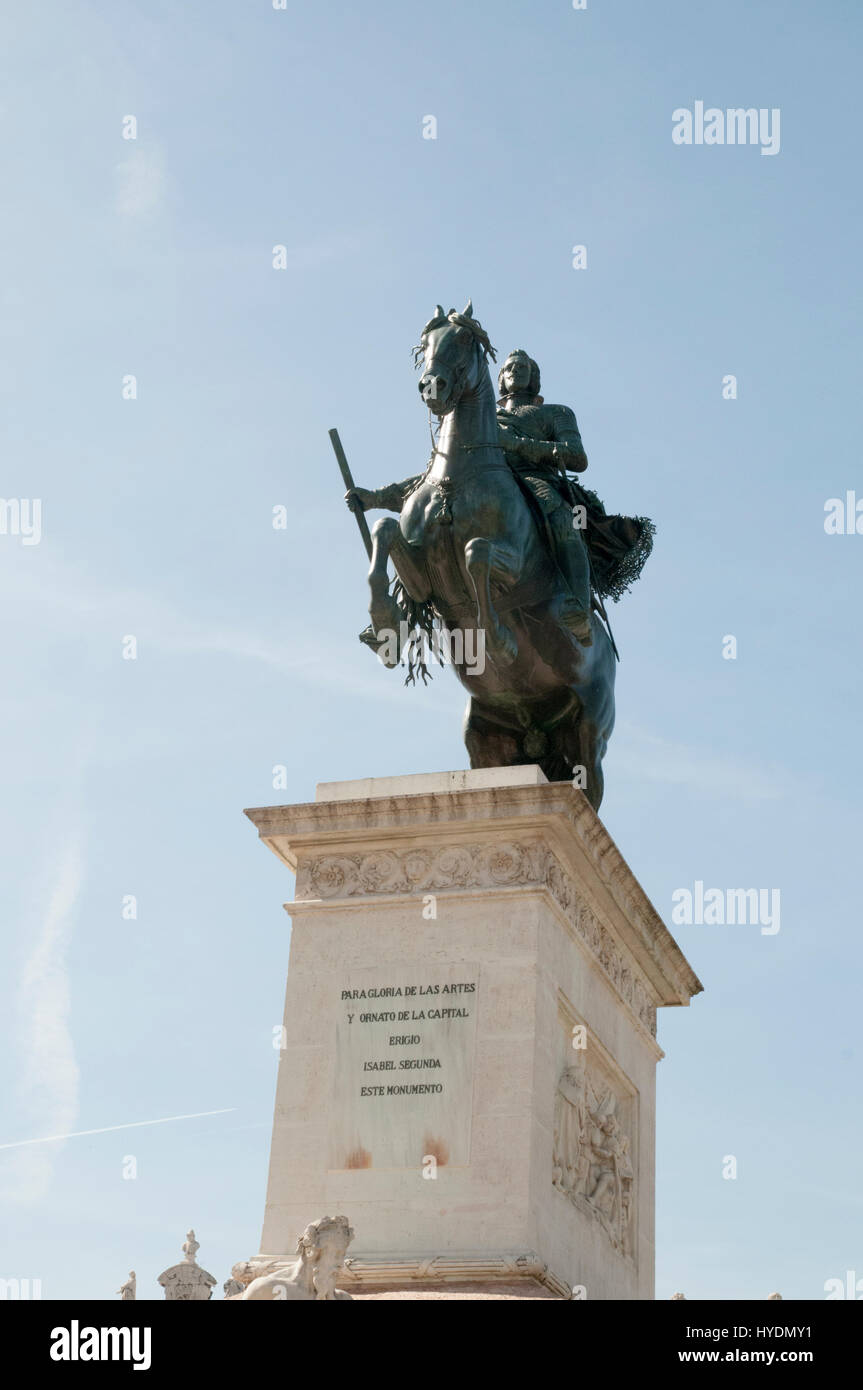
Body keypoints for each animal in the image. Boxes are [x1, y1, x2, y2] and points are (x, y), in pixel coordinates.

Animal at [364, 298, 611, 811]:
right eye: (425, 341)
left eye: (462, 340)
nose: (431, 386)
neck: (458, 477)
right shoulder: (422, 576)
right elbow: (384, 528)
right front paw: (384, 624)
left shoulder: (516, 562)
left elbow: (477, 554)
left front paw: (498, 642)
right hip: (487, 740)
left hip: (590, 735)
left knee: (590, 791)